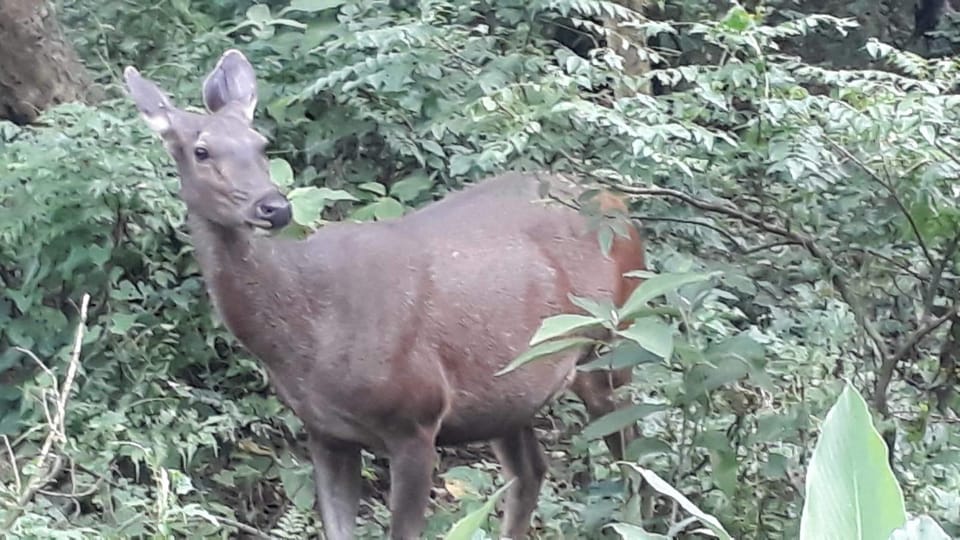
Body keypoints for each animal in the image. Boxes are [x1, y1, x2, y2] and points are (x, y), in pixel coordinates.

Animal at [122, 48, 644, 536]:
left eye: (261, 144)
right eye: (201, 151)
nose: (273, 207)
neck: (308, 336)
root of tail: (619, 203)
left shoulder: (416, 417)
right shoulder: (324, 433)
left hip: (614, 343)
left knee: (634, 457)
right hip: (510, 394)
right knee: (531, 472)